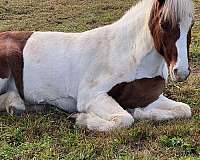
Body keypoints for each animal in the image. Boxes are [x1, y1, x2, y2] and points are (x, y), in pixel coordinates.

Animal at [0, 0, 195, 131]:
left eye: (191, 24)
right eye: (164, 23)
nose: (181, 72)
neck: (130, 55)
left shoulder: (150, 97)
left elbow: (184, 109)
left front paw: (140, 112)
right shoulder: (92, 97)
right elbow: (124, 119)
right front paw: (80, 119)